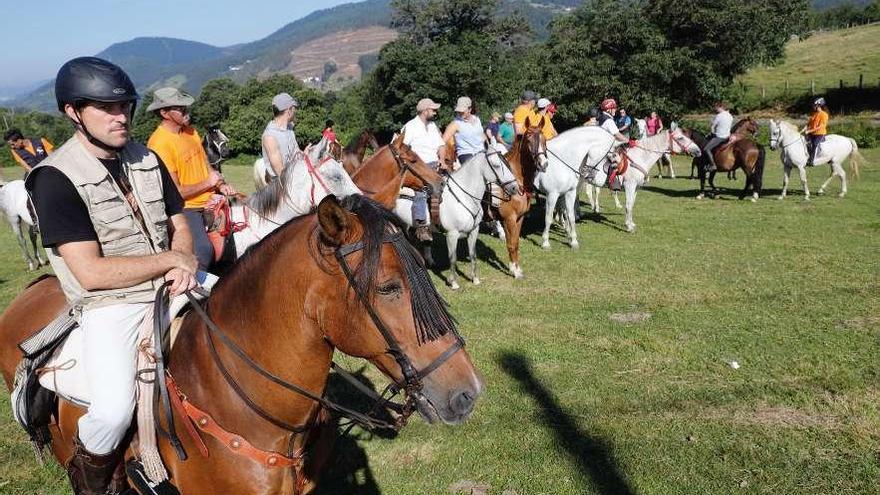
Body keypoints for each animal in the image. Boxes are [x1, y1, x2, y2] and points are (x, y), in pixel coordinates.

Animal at [394, 150, 524, 290]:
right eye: (496, 165)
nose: (514, 188)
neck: (464, 197)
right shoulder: (452, 234)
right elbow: (452, 258)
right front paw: (454, 283)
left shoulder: (473, 231)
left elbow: (473, 255)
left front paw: (475, 279)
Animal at [492, 119, 548, 280]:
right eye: (528, 140)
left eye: (544, 140)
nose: (543, 164)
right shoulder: (509, 218)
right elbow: (511, 244)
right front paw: (515, 272)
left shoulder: (519, 218)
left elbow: (515, 243)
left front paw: (515, 267)